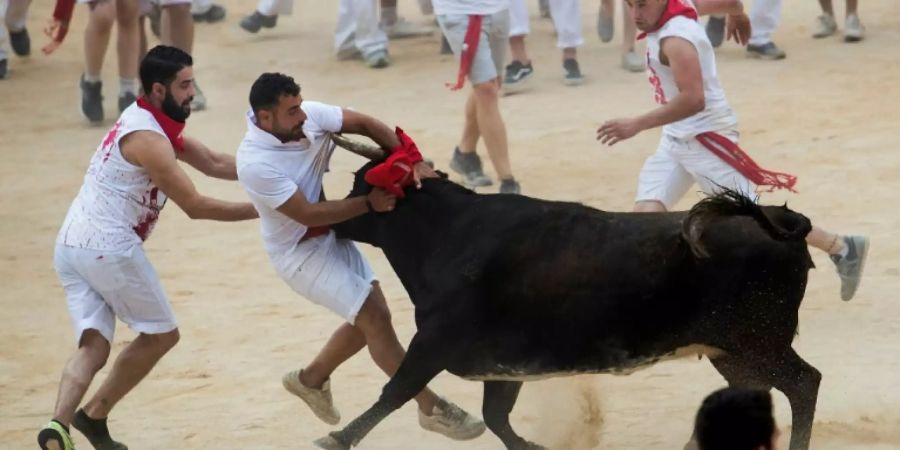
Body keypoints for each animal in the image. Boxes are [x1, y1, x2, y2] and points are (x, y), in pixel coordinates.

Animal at [318, 163, 824, 450]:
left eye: (359, 186)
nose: (327, 217)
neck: (449, 232)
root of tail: (779, 219)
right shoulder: (501, 364)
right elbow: (496, 417)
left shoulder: (434, 343)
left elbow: (396, 391)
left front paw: (337, 438)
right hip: (732, 351)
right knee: (763, 388)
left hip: (759, 342)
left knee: (804, 383)